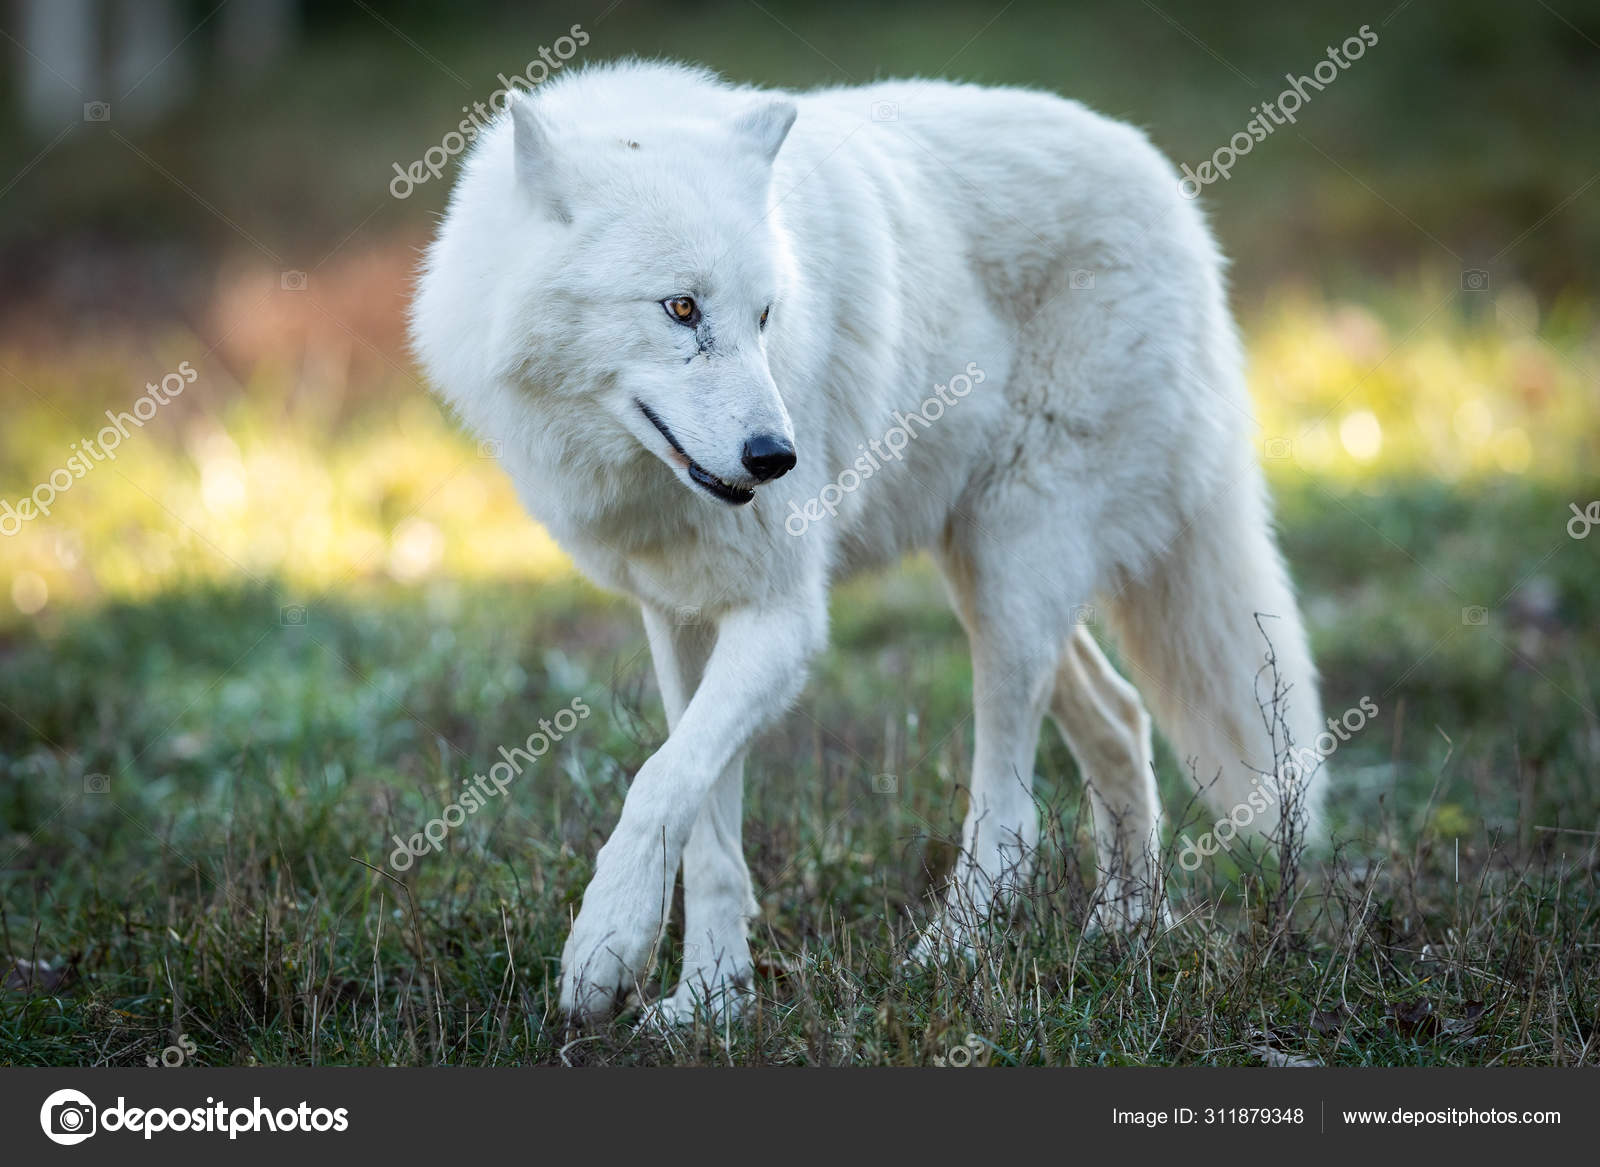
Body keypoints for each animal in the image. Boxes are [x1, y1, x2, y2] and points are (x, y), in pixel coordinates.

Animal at [410, 60, 1325, 1022]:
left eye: (765, 316)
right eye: (682, 307)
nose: (775, 458)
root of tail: (1175, 196)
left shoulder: (784, 617)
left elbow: (657, 779)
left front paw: (605, 946)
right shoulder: (685, 618)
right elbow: (705, 821)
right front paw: (709, 1002)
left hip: (1014, 571)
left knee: (1012, 812)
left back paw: (946, 958)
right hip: (992, 574)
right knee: (1119, 715)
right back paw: (1128, 933)